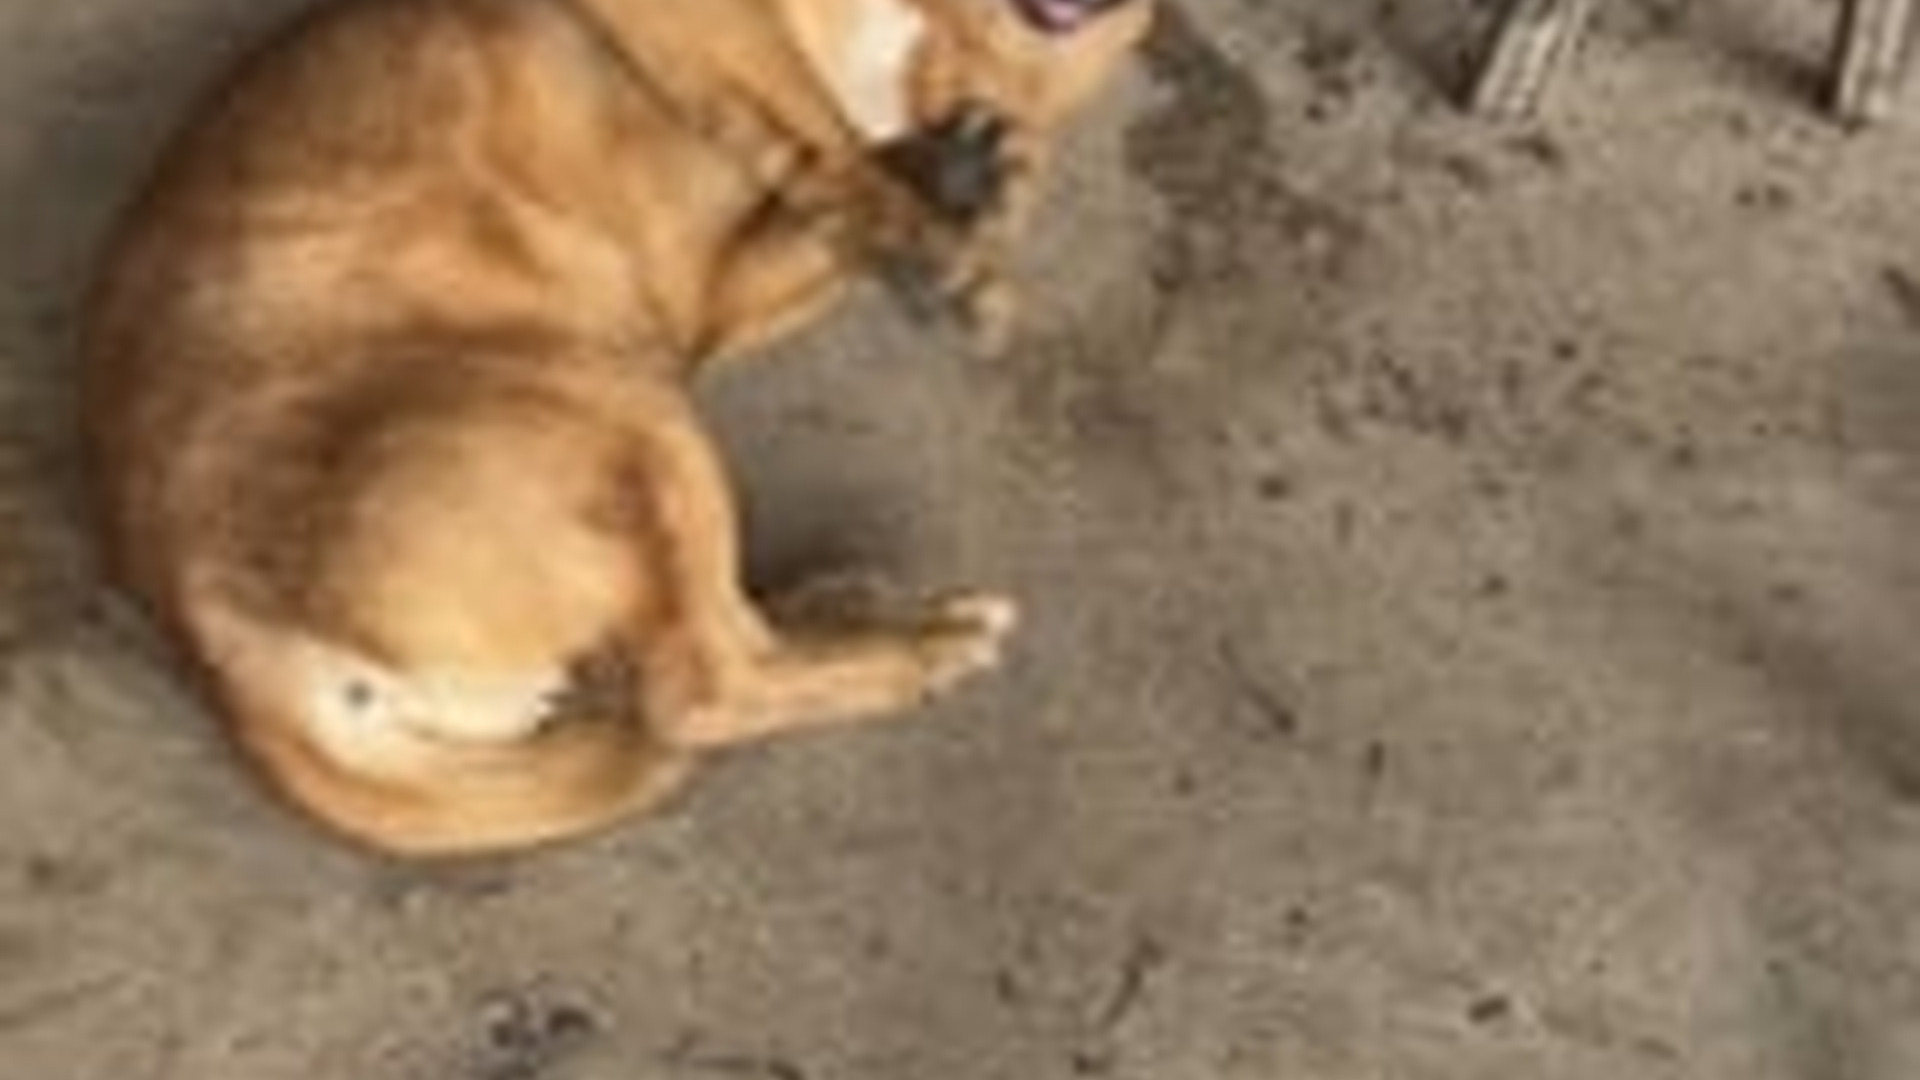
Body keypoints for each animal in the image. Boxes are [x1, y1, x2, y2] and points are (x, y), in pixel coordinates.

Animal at [81, 0, 1153, 855]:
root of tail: (229, 656)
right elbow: (824, 137)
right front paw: (939, 234)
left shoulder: (712, 295)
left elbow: (833, 201)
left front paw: (961, 188)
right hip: (625, 415)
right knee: (697, 689)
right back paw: (922, 643)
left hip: (637, 408)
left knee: (704, 644)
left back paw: (840, 606)